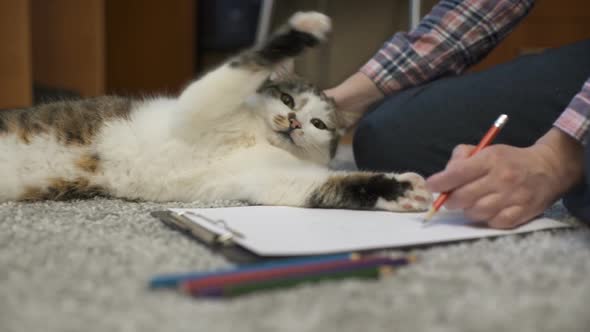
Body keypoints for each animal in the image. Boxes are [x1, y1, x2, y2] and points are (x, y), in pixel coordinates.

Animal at [0, 12, 434, 213]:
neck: (253, 136)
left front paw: (404, 190)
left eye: (318, 123)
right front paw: (306, 29)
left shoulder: (277, 179)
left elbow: (333, 186)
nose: (294, 122)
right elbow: (248, 61)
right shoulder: (199, 104)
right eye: (288, 101)